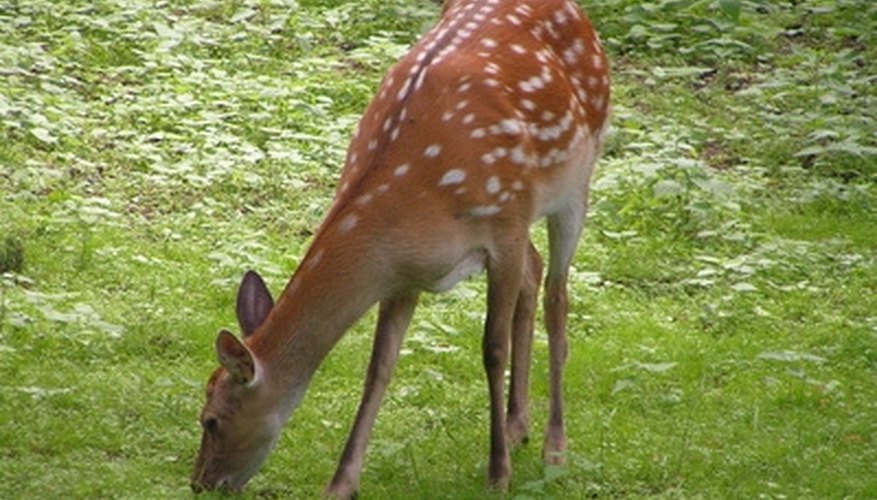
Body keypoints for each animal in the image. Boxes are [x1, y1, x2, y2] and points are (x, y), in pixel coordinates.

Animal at [192, 0, 608, 494]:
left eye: (212, 419)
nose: (200, 483)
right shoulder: (403, 273)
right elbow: (379, 368)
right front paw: (340, 484)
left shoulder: (504, 223)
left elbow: (492, 349)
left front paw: (498, 475)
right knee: (535, 270)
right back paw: (516, 425)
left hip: (575, 178)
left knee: (556, 297)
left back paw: (553, 447)